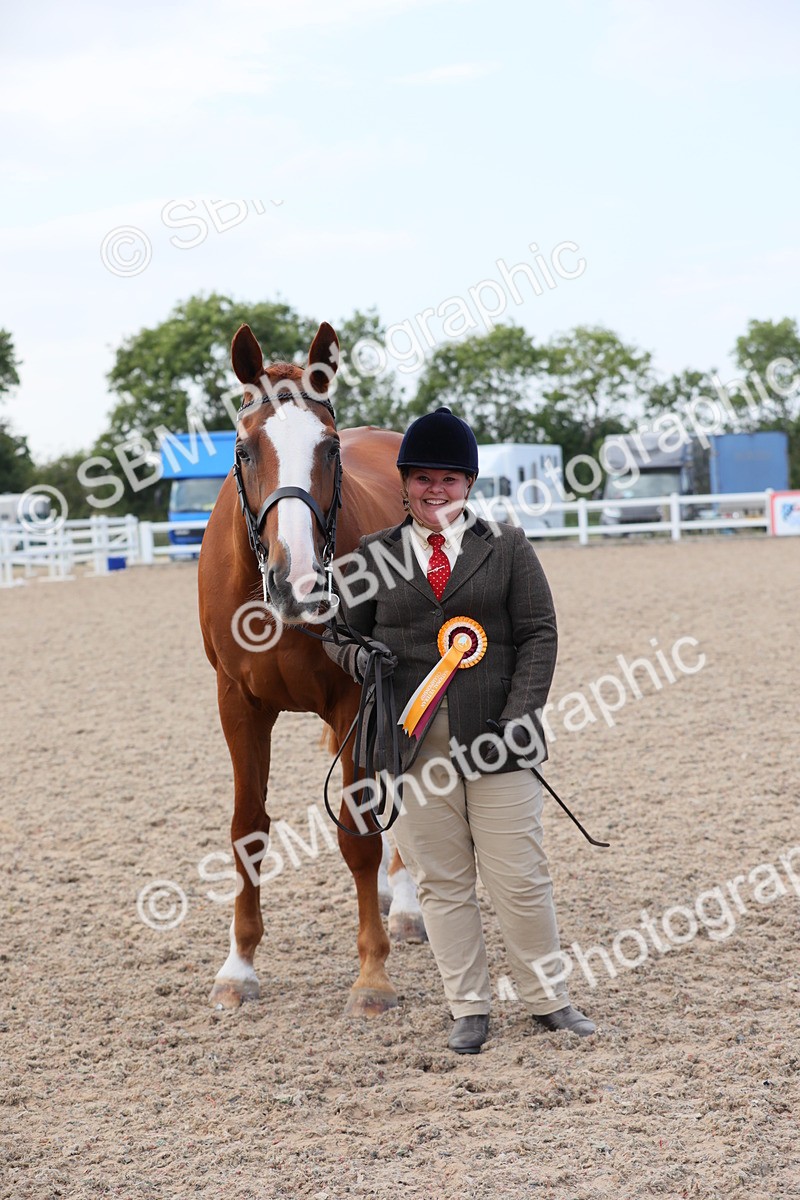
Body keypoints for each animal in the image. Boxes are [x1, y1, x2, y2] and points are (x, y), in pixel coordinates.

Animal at [198, 321, 423, 1017]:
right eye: (244, 450)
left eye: (329, 450)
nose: (295, 581)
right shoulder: (237, 702)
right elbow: (247, 831)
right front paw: (238, 967)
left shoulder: (357, 695)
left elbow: (358, 836)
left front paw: (373, 974)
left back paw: (406, 906)